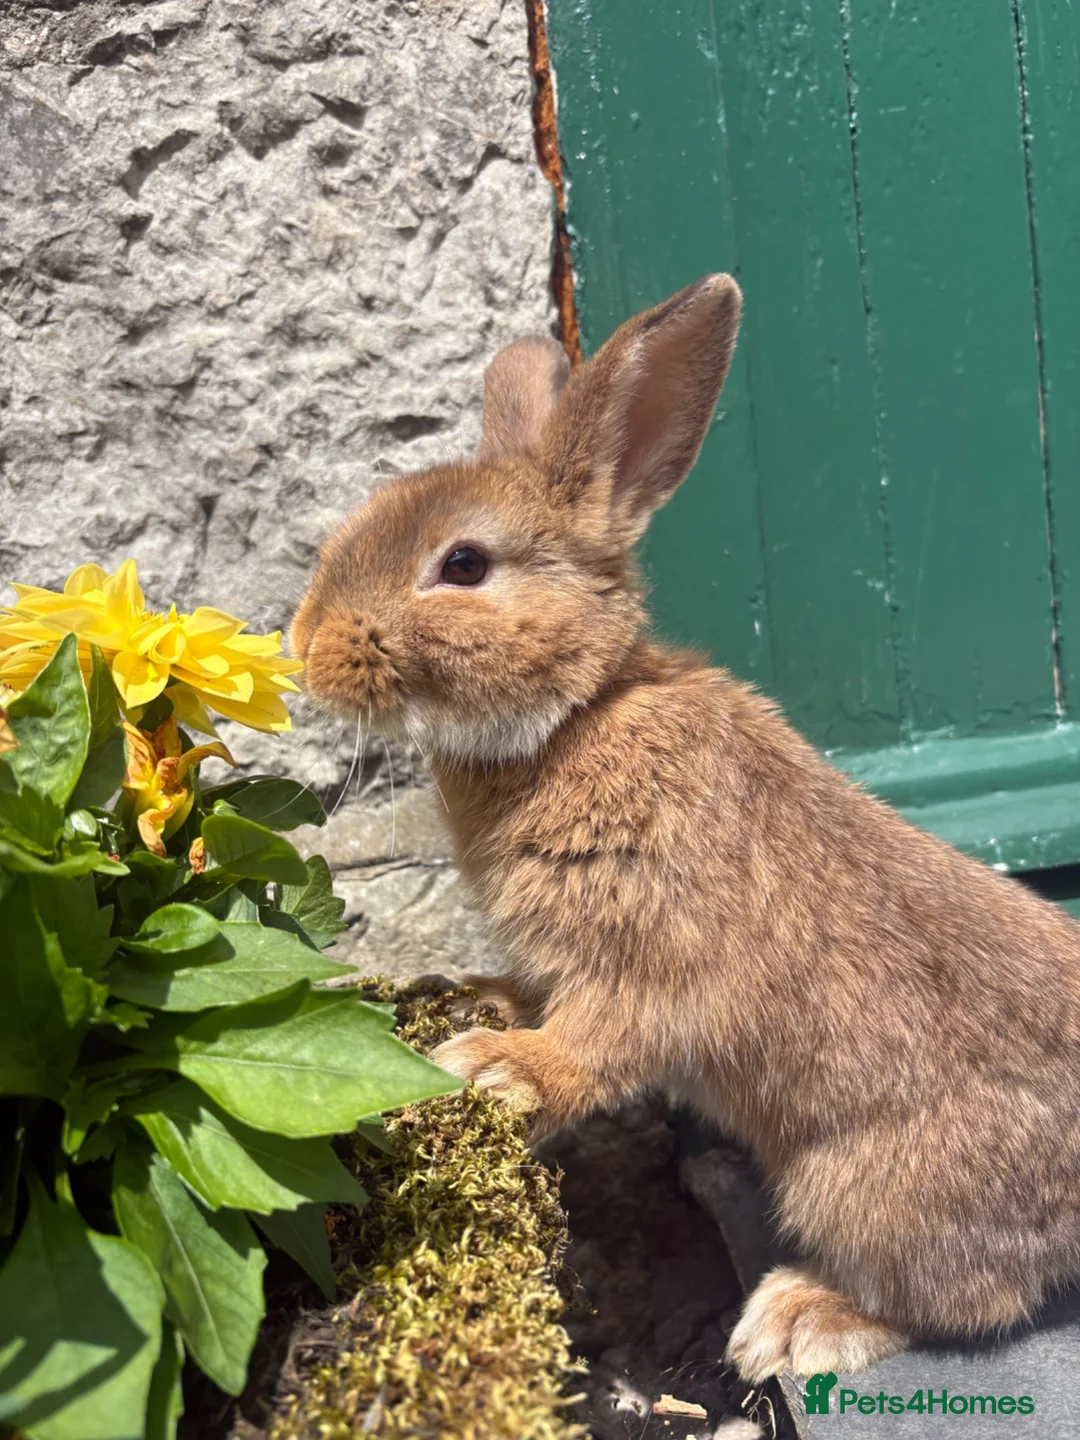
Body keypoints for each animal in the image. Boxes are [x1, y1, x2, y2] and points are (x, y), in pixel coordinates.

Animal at [291, 274, 1080, 1382]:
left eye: (464, 564)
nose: (302, 647)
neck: (575, 716)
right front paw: (473, 1000)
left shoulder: (652, 947)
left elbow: (601, 1040)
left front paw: (494, 1067)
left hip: (867, 1189)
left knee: (966, 1300)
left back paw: (800, 1319)